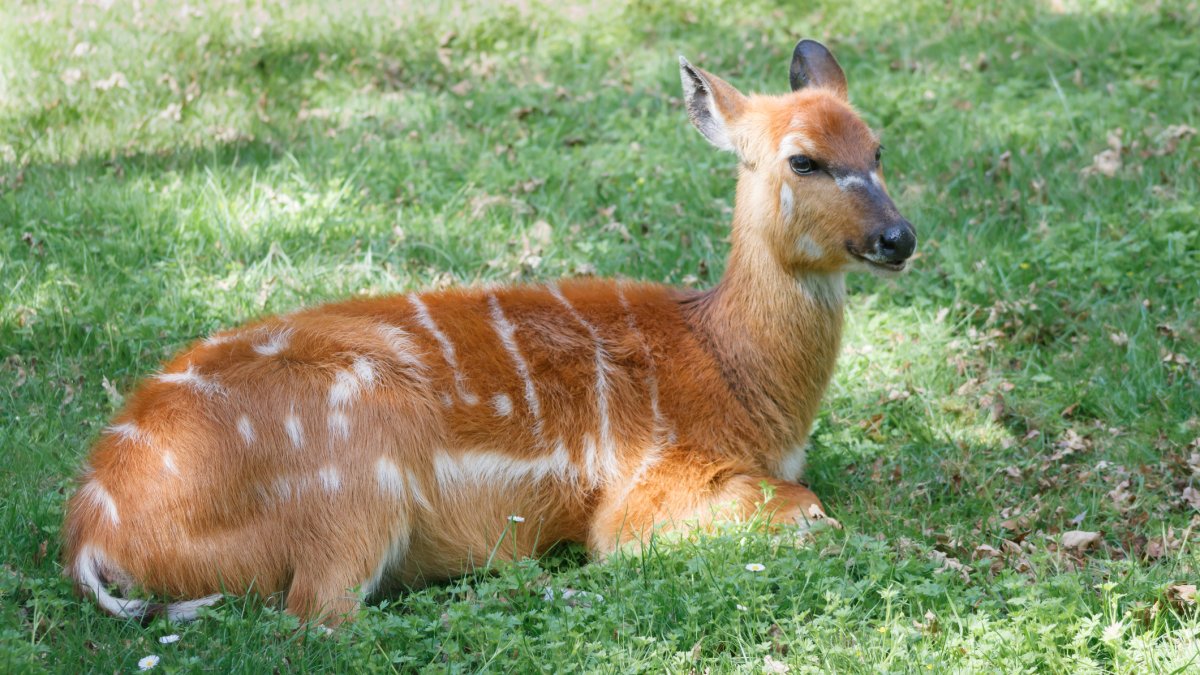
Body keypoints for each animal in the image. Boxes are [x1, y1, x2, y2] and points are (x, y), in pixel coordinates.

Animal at [63, 39, 916, 624]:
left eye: (876, 147)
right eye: (802, 160)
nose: (899, 237)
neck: (733, 370)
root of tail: (92, 534)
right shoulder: (647, 484)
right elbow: (805, 506)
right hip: (357, 471)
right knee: (319, 617)